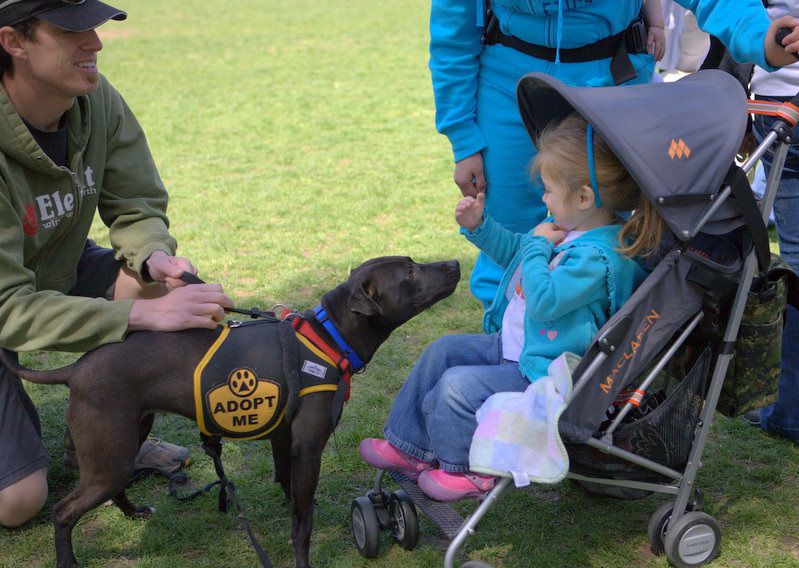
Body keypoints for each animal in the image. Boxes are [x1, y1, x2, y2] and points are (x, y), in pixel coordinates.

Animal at [4, 258, 462, 568]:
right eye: (409, 272)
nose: (455, 262)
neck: (328, 338)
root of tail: (76, 367)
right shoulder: (308, 449)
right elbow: (303, 523)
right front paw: (303, 557)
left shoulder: (284, 442)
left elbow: (292, 495)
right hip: (109, 455)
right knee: (64, 513)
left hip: (125, 440)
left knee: (114, 488)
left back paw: (134, 512)